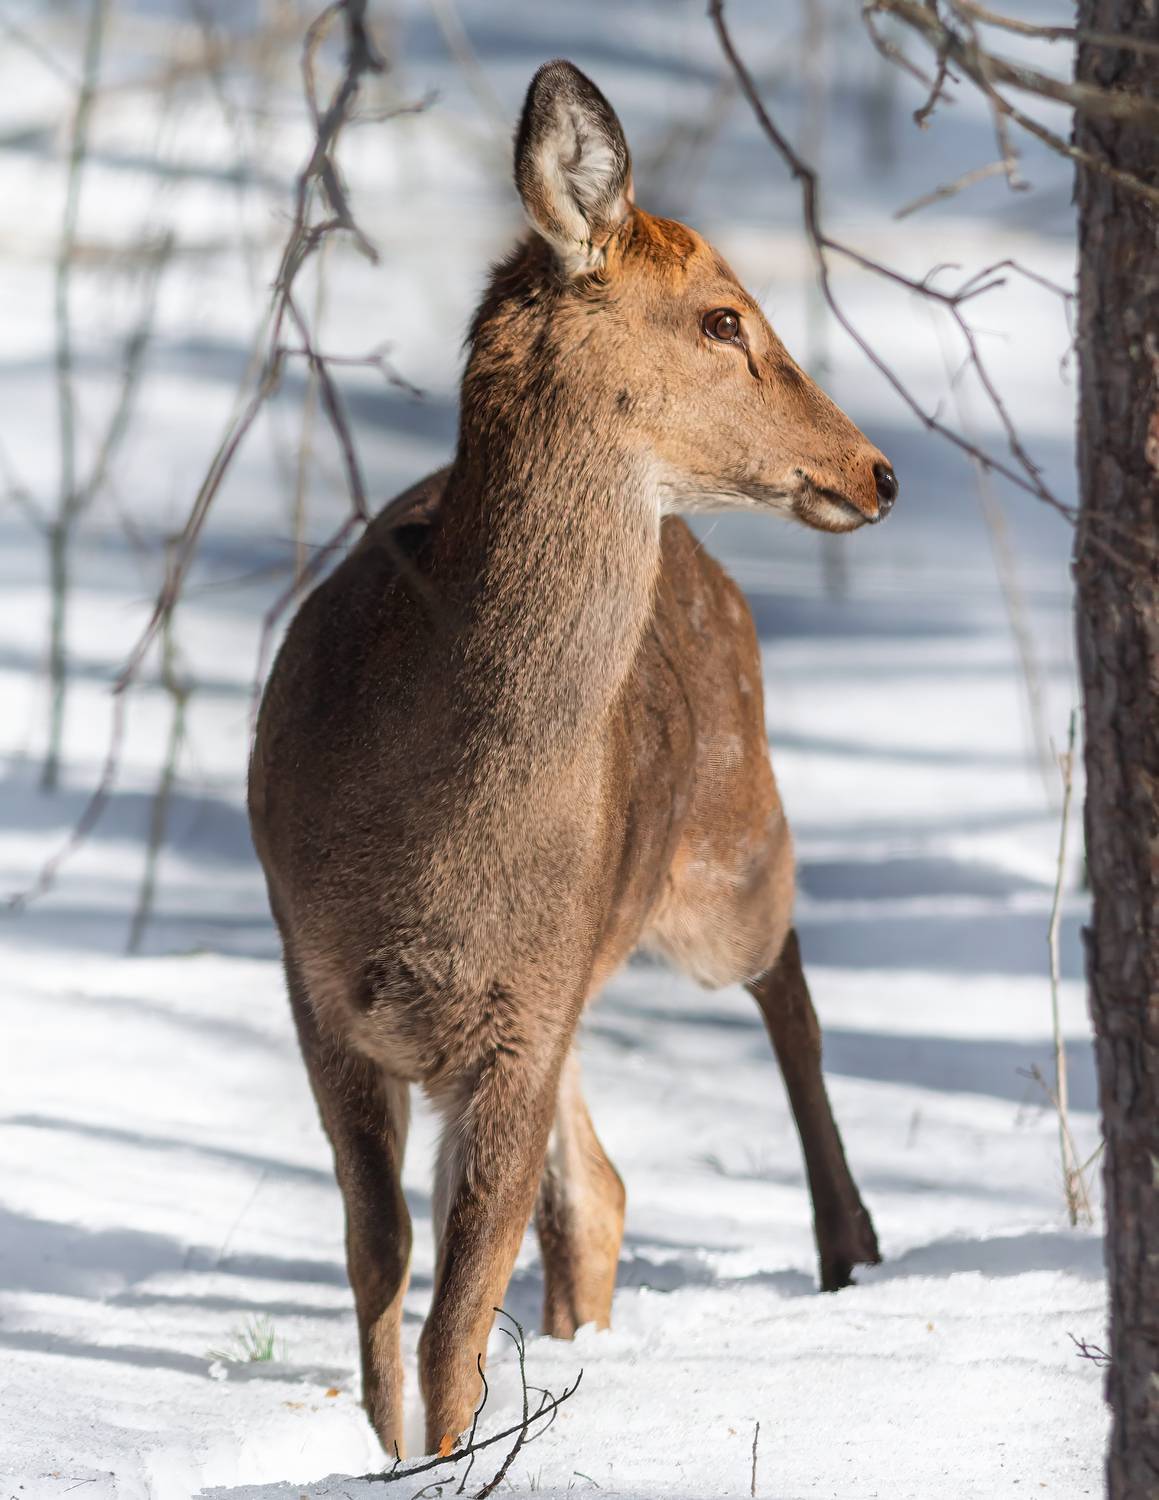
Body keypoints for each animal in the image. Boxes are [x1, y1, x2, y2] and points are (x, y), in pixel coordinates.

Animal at [248, 59, 896, 1458]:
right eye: (722, 318)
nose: (878, 470)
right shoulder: (323, 985)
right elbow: (378, 1265)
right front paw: (392, 1456)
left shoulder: (519, 1019)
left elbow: (450, 1314)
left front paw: (444, 1457)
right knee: (598, 1189)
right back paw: (583, 1340)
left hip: (723, 845)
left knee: (784, 970)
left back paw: (852, 1244)